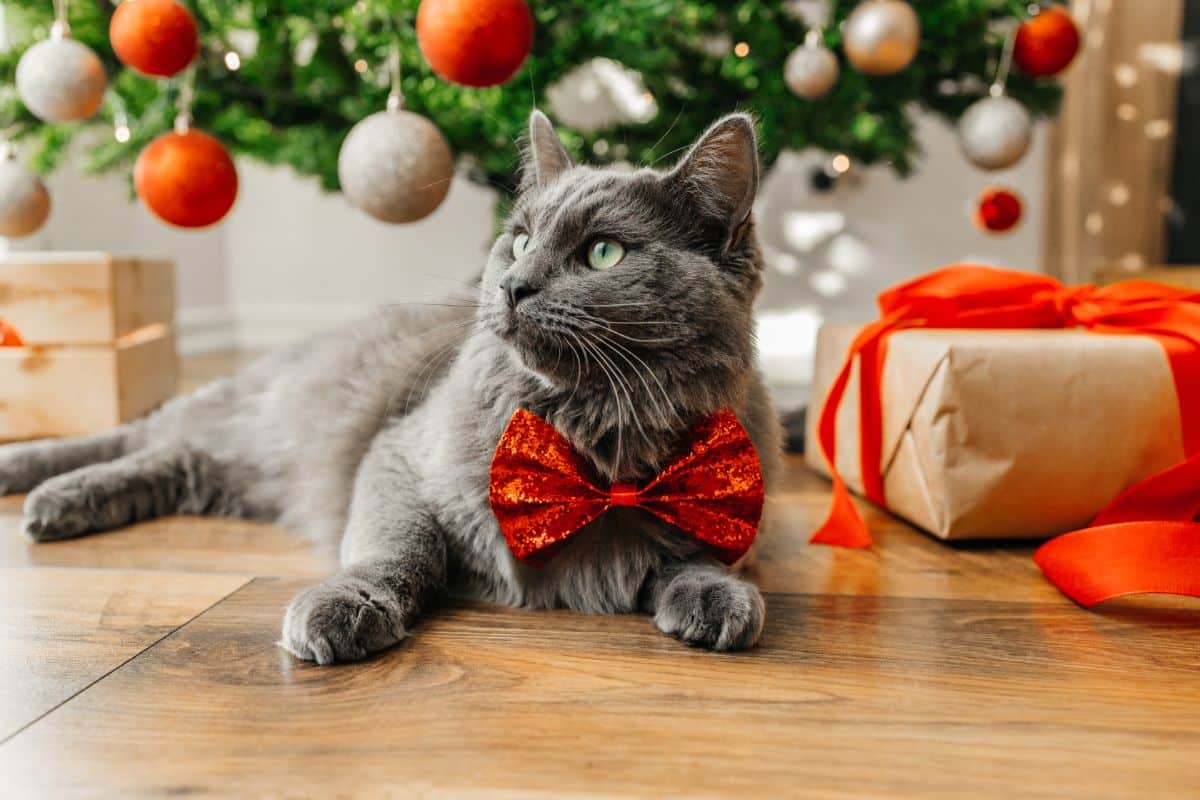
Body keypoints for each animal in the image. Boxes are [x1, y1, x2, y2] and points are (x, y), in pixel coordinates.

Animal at [0, 112, 777, 662]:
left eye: (604, 252)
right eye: (521, 239)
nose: (513, 285)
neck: (591, 432)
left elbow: (693, 554)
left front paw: (716, 595)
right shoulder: (395, 458)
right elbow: (401, 546)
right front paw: (346, 606)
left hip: (238, 471)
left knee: (174, 459)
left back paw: (59, 503)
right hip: (252, 416)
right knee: (142, 430)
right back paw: (36, 485)